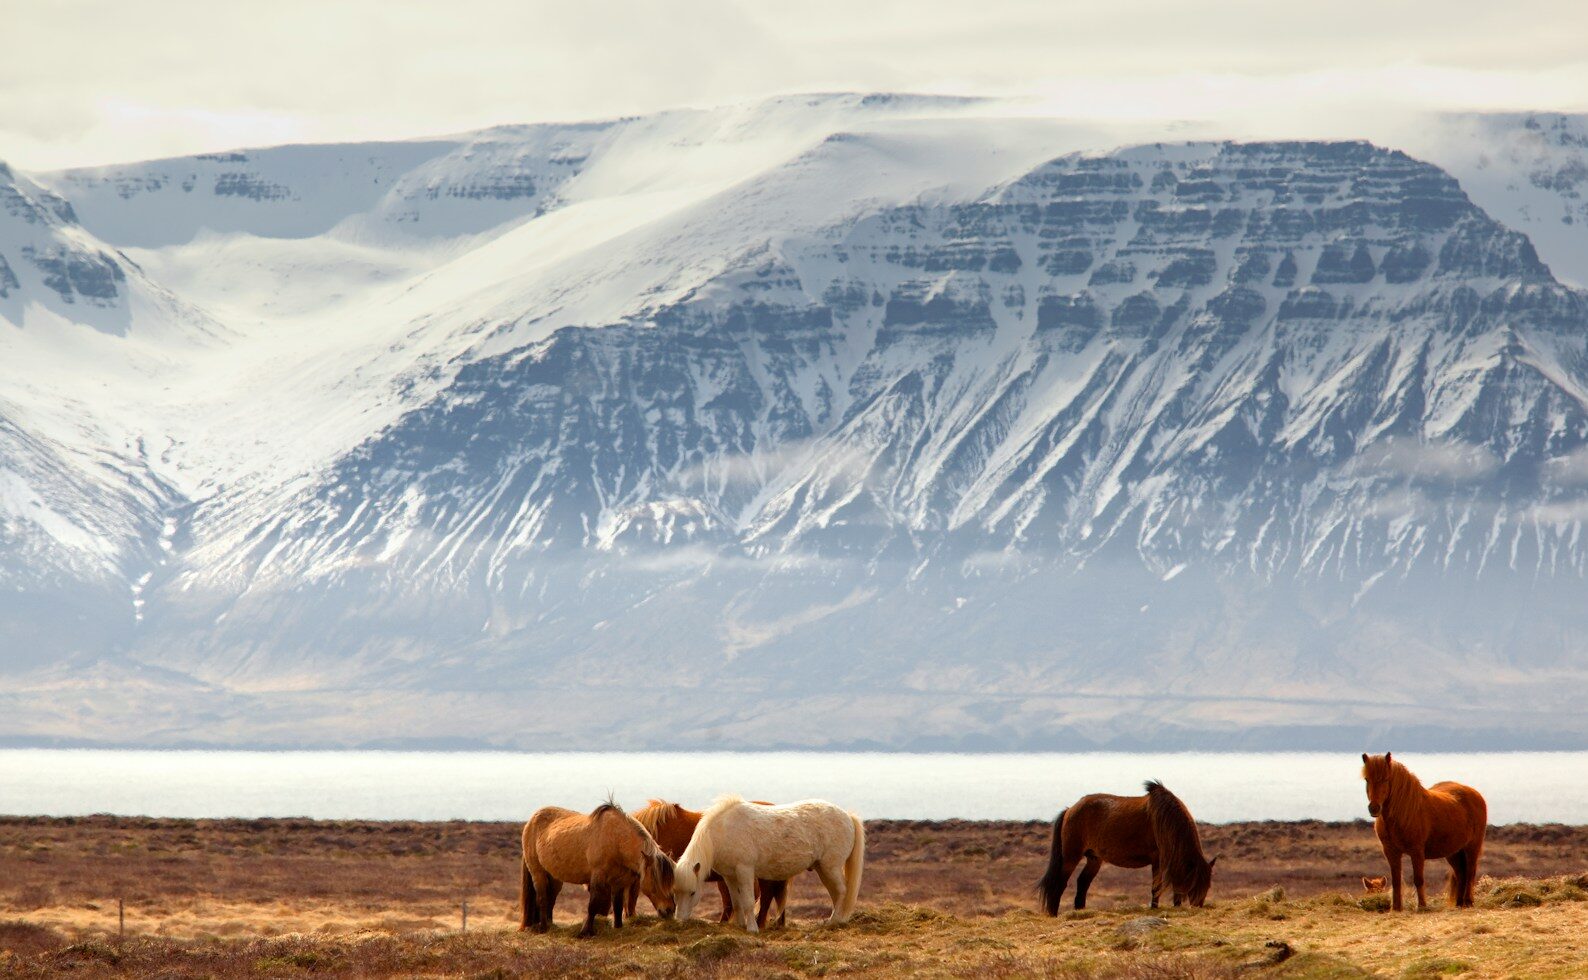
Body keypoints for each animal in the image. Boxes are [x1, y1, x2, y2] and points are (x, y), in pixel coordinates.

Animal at [517, 797, 673, 933]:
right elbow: (593, 905)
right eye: (656, 882)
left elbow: (617, 906)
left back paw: (550, 925)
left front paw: (618, 927)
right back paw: (543, 928)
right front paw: (585, 932)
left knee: (551, 899)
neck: (616, 839)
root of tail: (530, 822)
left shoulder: (618, 882)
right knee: (542, 898)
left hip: (554, 877)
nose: (670, 910)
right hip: (537, 872)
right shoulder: (598, 876)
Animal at [673, 790, 870, 927]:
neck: (723, 830)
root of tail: (847, 815)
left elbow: (747, 901)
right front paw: (740, 926)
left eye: (692, 892)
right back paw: (836, 920)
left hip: (831, 867)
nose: (679, 920)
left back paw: (834, 921)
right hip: (823, 869)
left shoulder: (745, 871)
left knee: (842, 891)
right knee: (835, 893)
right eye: (675, 892)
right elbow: (736, 902)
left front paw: (752, 929)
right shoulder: (729, 876)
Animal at [1035, 775, 1219, 914]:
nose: (1198, 906)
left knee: (1082, 882)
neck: (1166, 819)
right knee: (1060, 883)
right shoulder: (1158, 860)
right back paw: (1054, 914)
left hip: (1094, 858)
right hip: (1071, 857)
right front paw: (1155, 908)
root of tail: (1070, 809)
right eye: (1196, 883)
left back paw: (1080, 910)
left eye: (1209, 885)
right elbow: (1156, 886)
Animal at [1359, 756, 1480, 908]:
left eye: (1386, 779)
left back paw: (1468, 902)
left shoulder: (1417, 852)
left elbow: (1418, 879)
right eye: (1367, 779)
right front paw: (1396, 907)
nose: (1374, 808)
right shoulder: (1391, 852)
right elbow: (1396, 880)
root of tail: (1475, 794)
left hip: (1472, 847)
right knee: (1460, 874)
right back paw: (1459, 903)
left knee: (1470, 872)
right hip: (1454, 852)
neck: (1402, 813)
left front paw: (1422, 906)